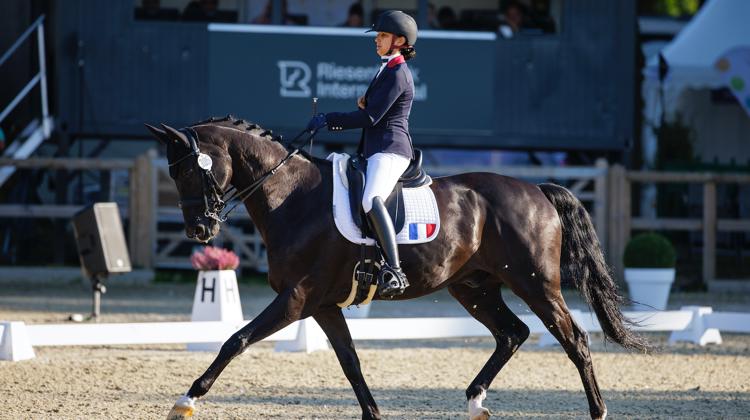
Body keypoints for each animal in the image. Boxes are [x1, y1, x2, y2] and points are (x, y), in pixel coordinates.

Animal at [144, 115, 648, 420]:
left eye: (186, 171)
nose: (199, 230)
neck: (292, 196)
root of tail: (538, 190)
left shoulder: (296, 298)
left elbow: (236, 339)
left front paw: (185, 400)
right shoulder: (322, 305)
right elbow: (350, 362)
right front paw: (374, 414)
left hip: (535, 283)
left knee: (574, 340)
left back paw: (598, 411)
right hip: (474, 287)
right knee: (512, 333)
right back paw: (475, 402)